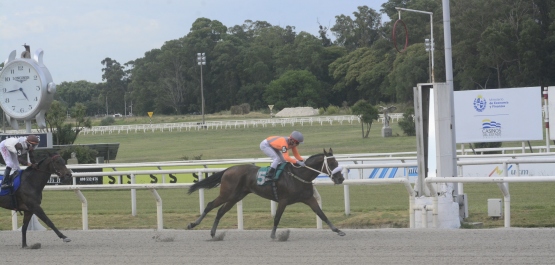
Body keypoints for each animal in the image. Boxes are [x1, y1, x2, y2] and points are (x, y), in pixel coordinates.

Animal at [189, 148, 346, 237]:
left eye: (337, 163)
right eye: (331, 164)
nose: (341, 178)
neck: (299, 175)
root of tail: (228, 169)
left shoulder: (309, 198)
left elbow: (322, 214)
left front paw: (338, 230)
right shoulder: (283, 200)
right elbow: (277, 217)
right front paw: (272, 234)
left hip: (235, 197)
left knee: (220, 211)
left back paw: (212, 232)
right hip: (227, 194)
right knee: (210, 205)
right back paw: (193, 224)